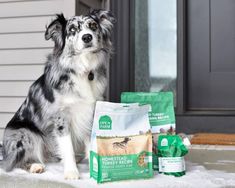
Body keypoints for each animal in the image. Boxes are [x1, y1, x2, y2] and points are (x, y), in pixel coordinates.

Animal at [1, 9, 114, 179]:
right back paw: (35, 166)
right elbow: (67, 148)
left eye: (93, 25)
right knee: (13, 162)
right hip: (25, 133)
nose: (87, 37)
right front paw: (72, 173)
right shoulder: (61, 117)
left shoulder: (89, 112)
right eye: (72, 29)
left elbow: (91, 144)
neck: (82, 69)